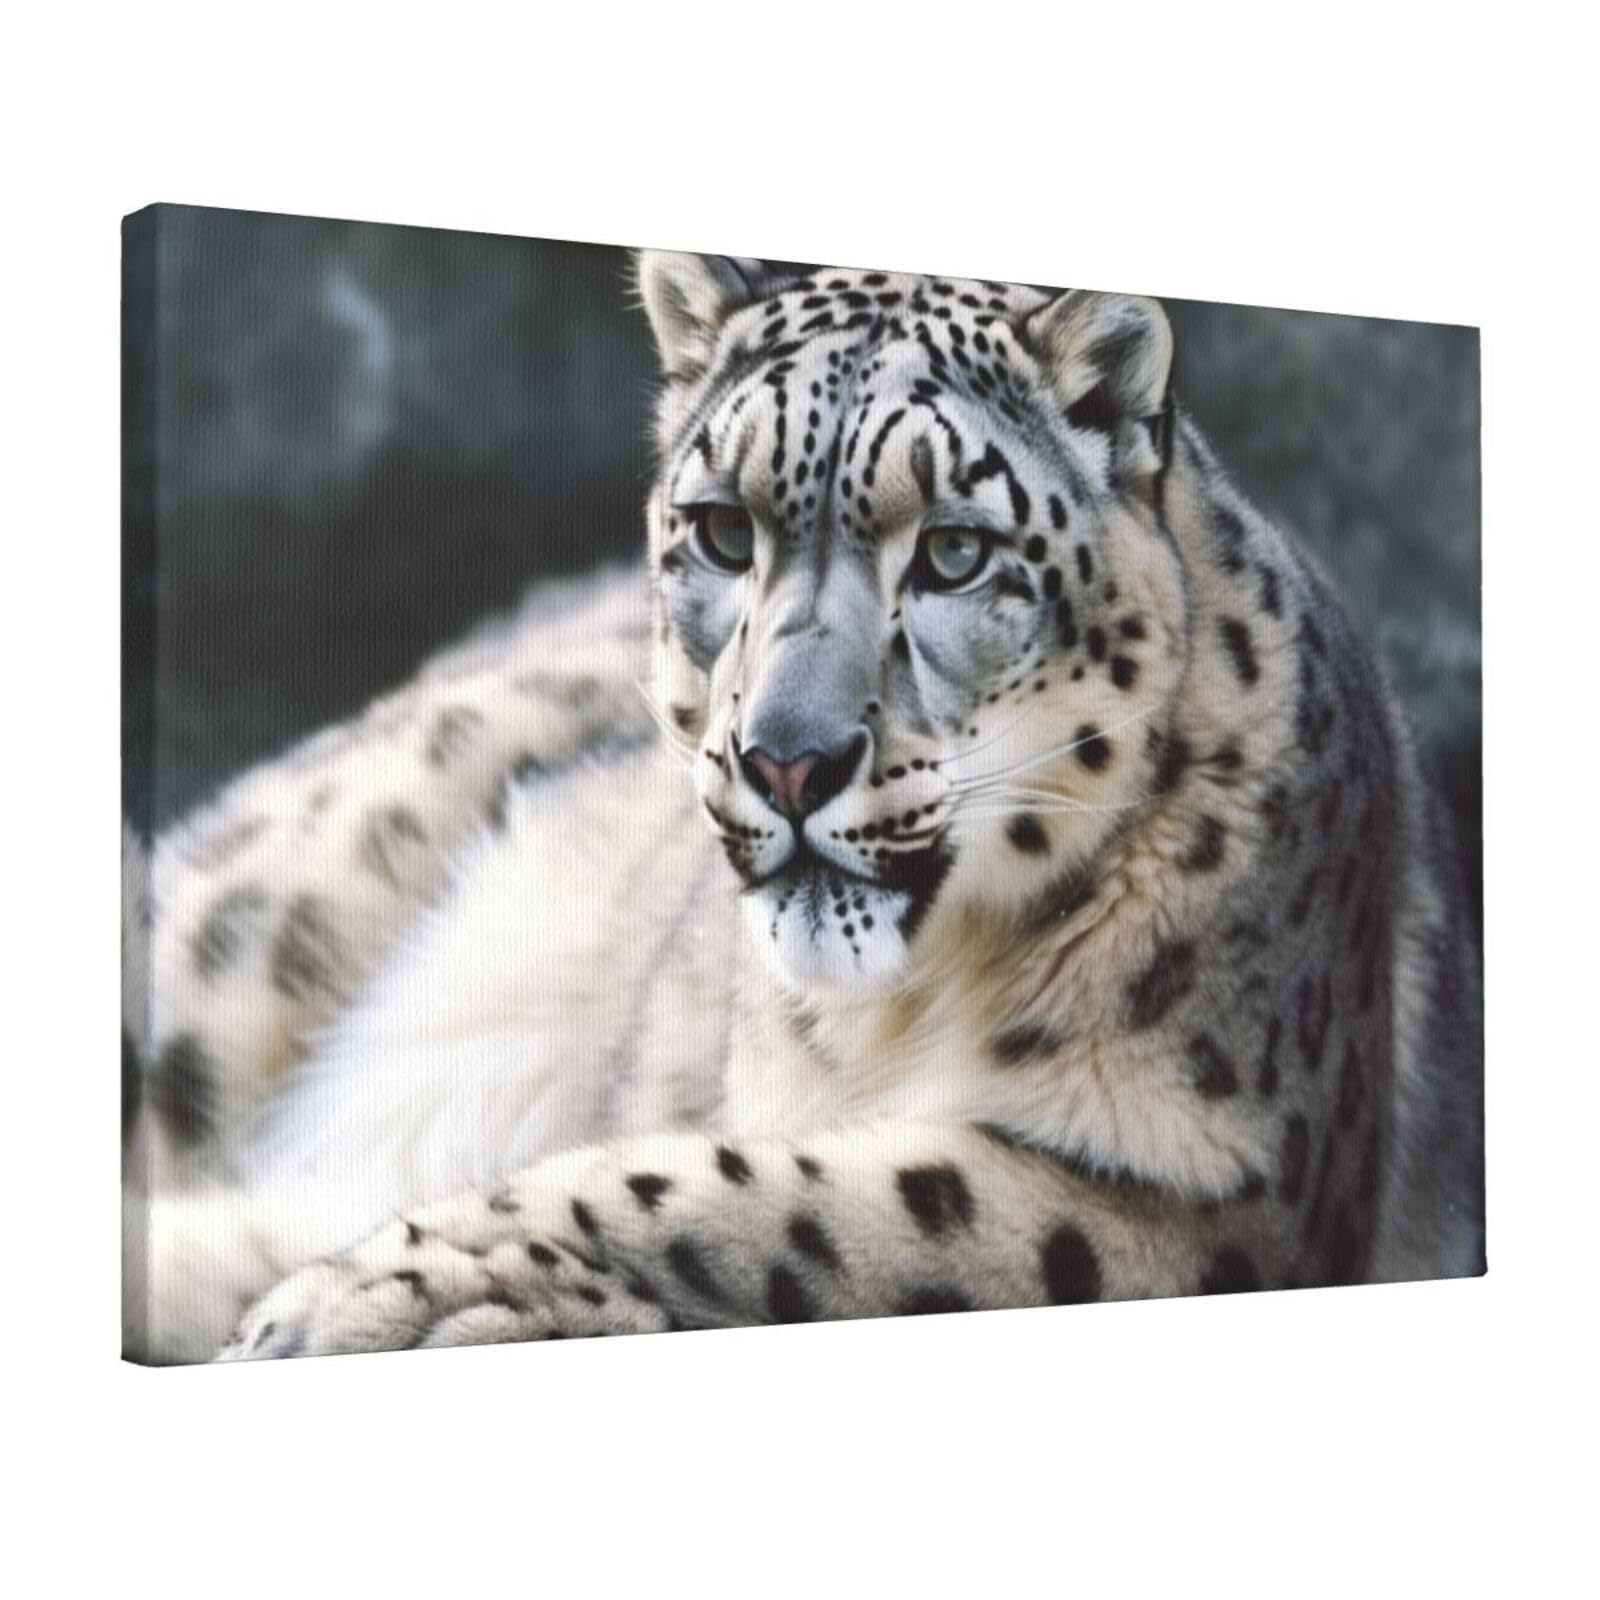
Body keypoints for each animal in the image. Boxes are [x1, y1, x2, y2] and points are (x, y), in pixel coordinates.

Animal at [121, 250, 1484, 1364]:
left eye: (954, 551)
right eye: (724, 531)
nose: (785, 759)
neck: (908, 1009)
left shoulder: (1210, 1199)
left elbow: (785, 1201)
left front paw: (352, 1302)